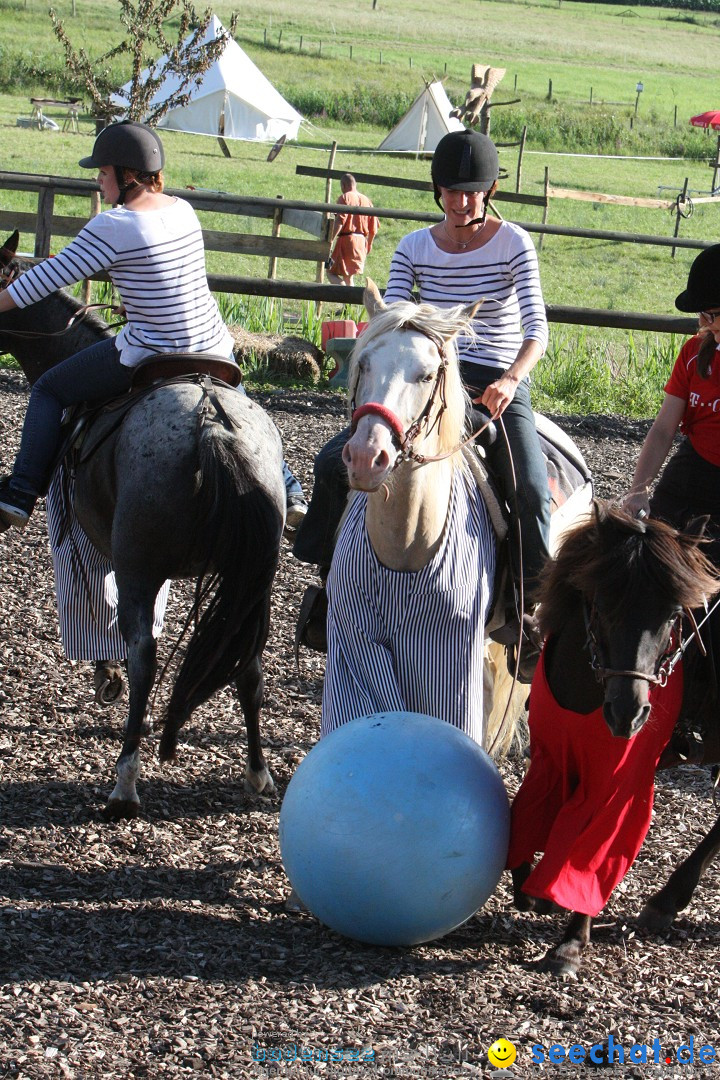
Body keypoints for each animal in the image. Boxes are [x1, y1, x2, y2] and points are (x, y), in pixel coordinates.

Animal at [511, 501, 720, 976]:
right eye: (604, 605)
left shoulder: (618, 783)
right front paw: (529, 891)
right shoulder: (552, 760)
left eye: (673, 617)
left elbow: (591, 848)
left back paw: (667, 900)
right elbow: (527, 815)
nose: (629, 713)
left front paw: (571, 942)